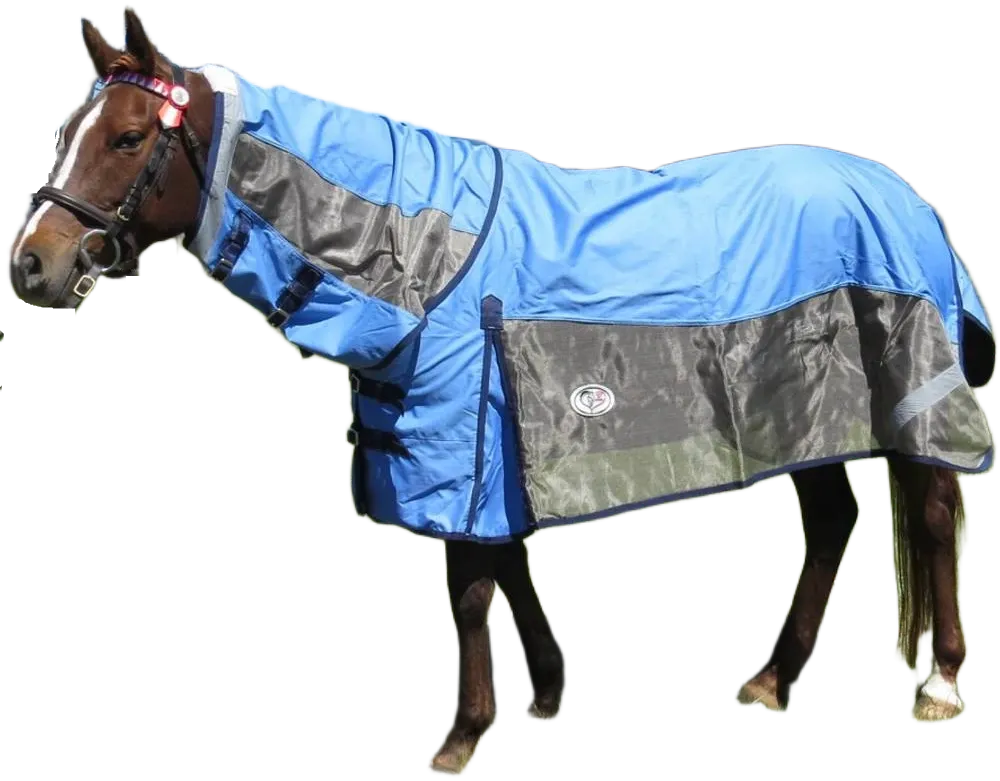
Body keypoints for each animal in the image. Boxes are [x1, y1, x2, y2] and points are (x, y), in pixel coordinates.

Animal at [7, 8, 995, 774]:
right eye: (65, 135)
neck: (421, 258)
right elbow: (510, 564)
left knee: (933, 511)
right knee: (830, 521)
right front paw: (548, 693)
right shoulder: (478, 446)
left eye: (129, 137)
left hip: (906, 393)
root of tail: (899, 194)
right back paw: (768, 681)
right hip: (802, 411)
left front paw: (461, 737)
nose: (31, 265)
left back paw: (941, 684)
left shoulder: (464, 436)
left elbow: (473, 584)